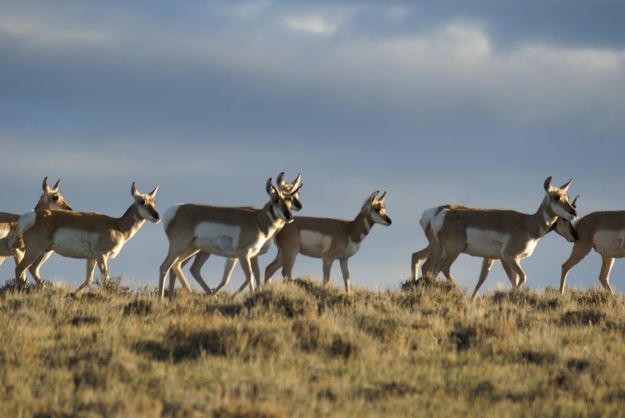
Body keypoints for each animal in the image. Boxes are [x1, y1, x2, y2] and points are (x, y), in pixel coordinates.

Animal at [14, 183, 158, 294]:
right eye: (142, 201)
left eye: (154, 202)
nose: (157, 216)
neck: (117, 225)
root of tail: (33, 216)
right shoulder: (101, 255)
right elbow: (106, 279)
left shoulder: (91, 258)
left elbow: (88, 280)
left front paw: (73, 294)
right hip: (36, 250)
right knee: (20, 269)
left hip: (45, 252)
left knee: (33, 269)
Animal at [158, 176, 300, 300]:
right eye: (276, 200)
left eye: (290, 200)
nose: (290, 217)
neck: (256, 220)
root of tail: (176, 209)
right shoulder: (243, 254)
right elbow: (250, 276)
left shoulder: (248, 255)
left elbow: (251, 275)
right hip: (180, 248)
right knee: (165, 267)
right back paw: (162, 300)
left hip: (192, 249)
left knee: (177, 267)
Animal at [262, 190, 390, 292]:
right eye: (377, 209)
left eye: (385, 208)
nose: (390, 221)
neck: (349, 229)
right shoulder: (327, 258)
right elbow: (326, 280)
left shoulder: (343, 259)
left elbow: (347, 281)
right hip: (292, 252)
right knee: (285, 272)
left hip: (283, 254)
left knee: (269, 269)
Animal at [420, 178, 576, 298]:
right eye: (556, 197)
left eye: (567, 197)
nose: (574, 213)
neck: (527, 224)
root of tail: (439, 214)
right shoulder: (508, 257)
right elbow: (522, 277)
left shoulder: (512, 259)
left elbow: (514, 280)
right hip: (454, 250)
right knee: (442, 268)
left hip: (440, 249)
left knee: (429, 268)